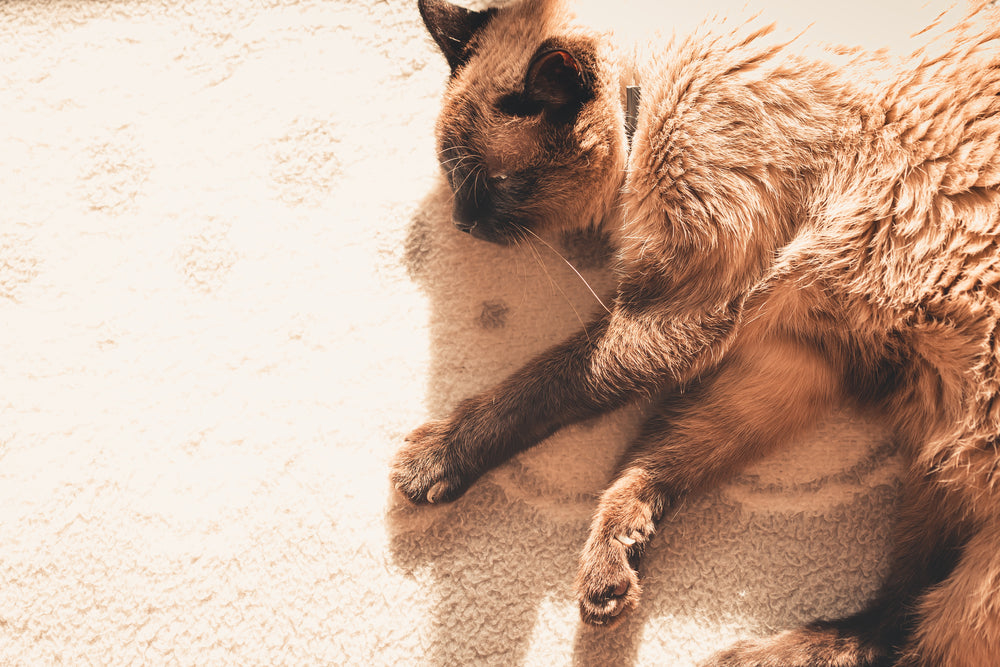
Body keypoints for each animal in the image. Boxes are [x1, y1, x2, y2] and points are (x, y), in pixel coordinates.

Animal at [388, 2, 1000, 664]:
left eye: (497, 184)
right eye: (455, 178)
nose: (462, 223)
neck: (648, 100)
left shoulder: (675, 311)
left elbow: (541, 389)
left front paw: (431, 458)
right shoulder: (788, 362)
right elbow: (653, 459)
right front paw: (614, 561)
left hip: (977, 568)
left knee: (918, 638)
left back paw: (733, 658)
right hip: (938, 477)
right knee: (893, 622)